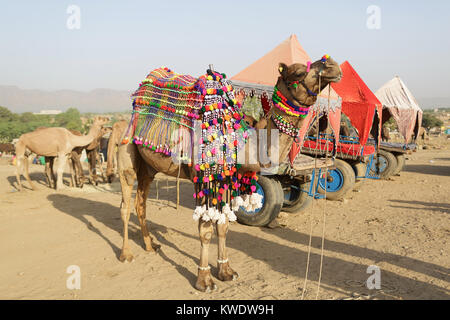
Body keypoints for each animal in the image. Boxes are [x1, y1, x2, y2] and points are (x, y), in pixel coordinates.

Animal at [115, 57, 342, 292]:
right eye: (298, 73)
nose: (331, 64)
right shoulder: (203, 180)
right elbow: (206, 230)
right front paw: (204, 280)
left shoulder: (225, 179)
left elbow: (223, 226)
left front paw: (226, 271)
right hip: (126, 153)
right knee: (125, 205)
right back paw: (126, 254)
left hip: (148, 168)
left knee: (141, 203)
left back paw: (151, 245)